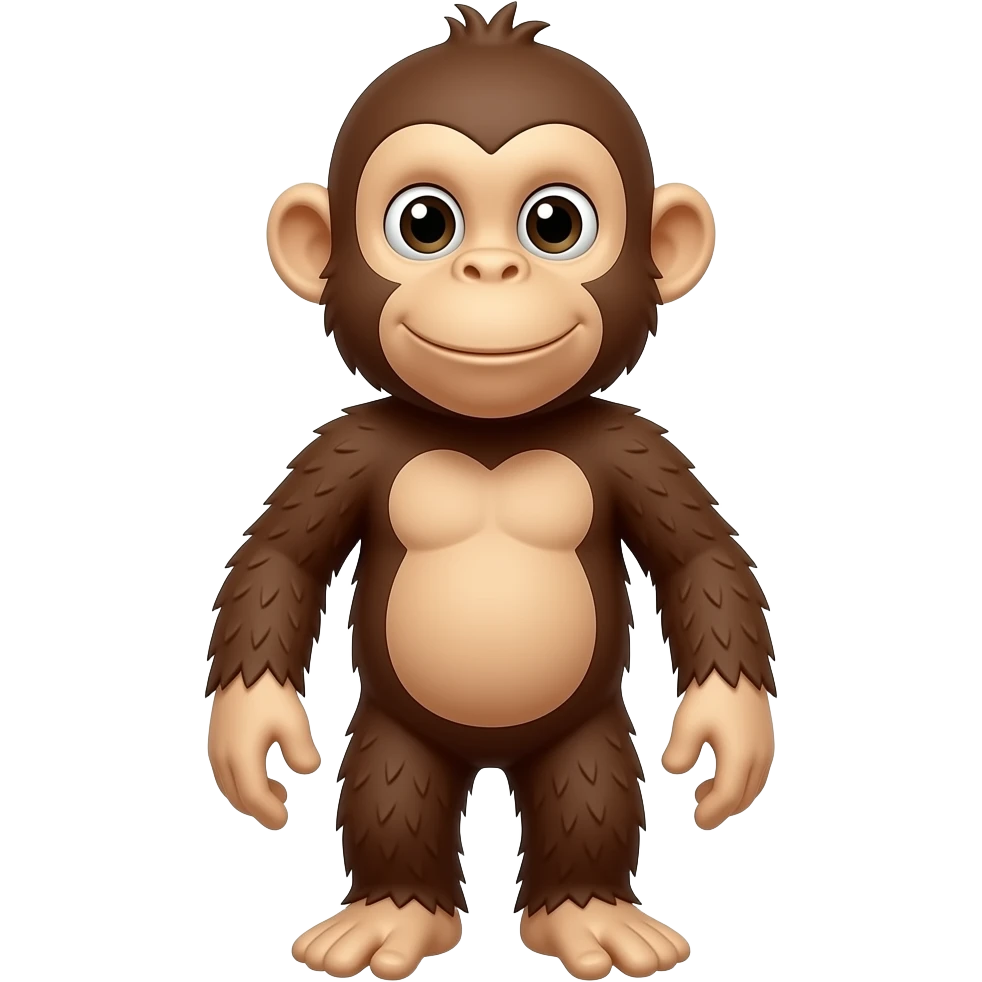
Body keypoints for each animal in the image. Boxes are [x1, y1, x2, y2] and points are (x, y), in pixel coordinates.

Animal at [207, 4, 776, 980]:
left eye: (555, 222)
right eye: (425, 222)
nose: (490, 271)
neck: (491, 436)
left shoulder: (636, 445)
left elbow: (700, 557)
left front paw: (729, 733)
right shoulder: (346, 445)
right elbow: (281, 557)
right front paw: (253, 733)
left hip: (586, 728)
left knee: (590, 789)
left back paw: (589, 913)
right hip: (395, 728)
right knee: (391, 790)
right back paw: (393, 914)